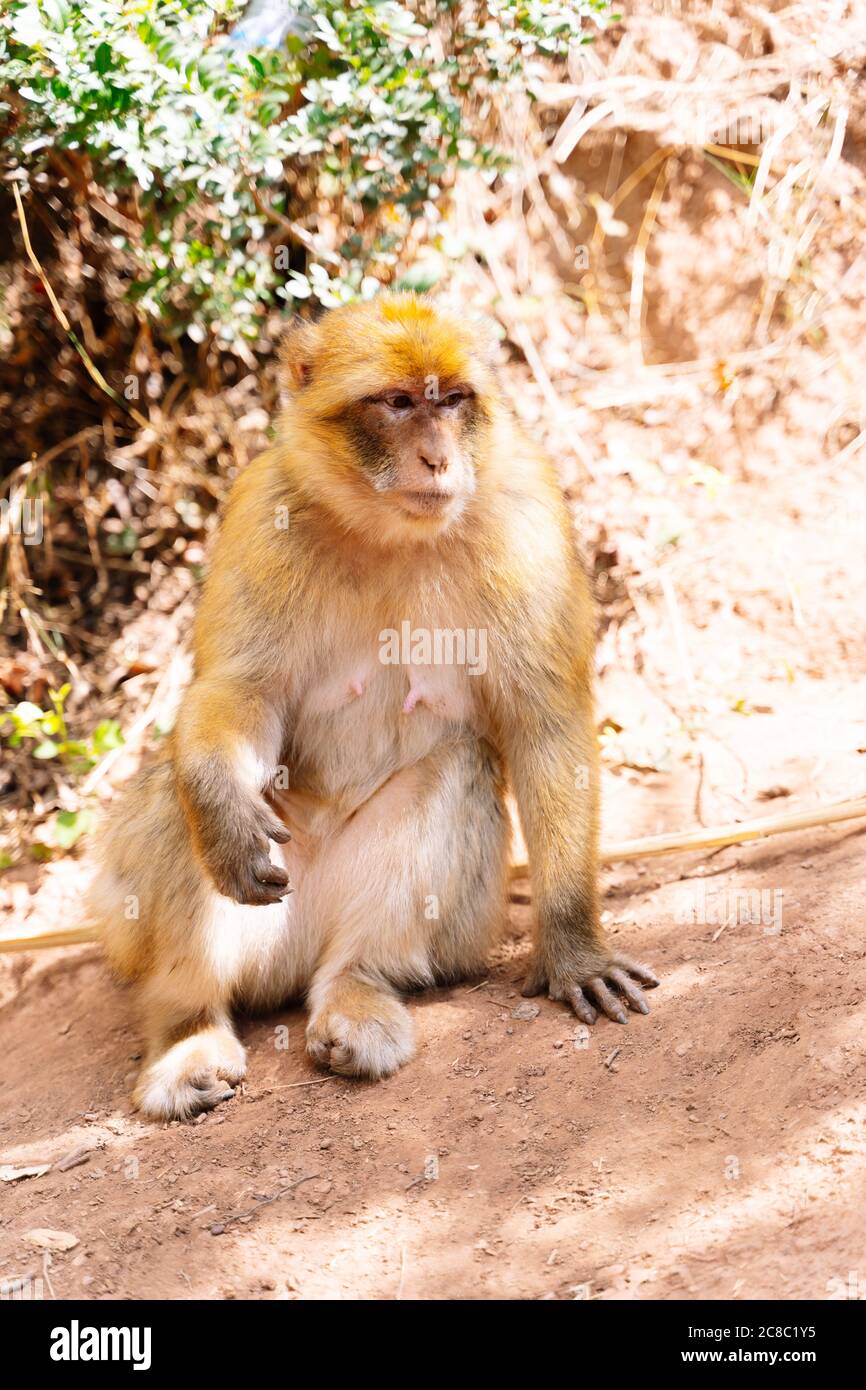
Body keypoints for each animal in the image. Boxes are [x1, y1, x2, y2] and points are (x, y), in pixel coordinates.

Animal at [87, 292, 657, 1121]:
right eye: (397, 404)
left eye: (452, 401)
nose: (438, 459)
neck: (387, 529)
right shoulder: (262, 512)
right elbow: (239, 691)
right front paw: (221, 807)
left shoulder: (528, 516)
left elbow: (543, 721)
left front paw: (573, 947)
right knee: (174, 788)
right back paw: (189, 1028)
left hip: (450, 930)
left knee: (459, 766)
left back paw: (359, 991)